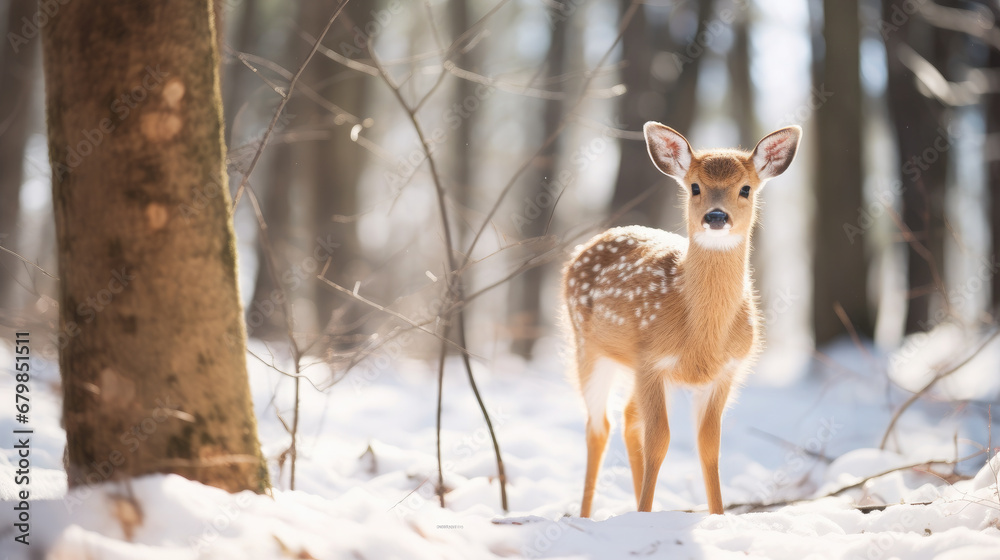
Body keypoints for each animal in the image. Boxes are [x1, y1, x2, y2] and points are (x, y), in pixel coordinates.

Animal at [563, 122, 800, 517]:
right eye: (694, 187)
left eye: (745, 188)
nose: (716, 217)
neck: (701, 335)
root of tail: (582, 249)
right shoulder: (652, 360)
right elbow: (660, 440)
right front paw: (645, 515)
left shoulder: (725, 371)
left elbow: (709, 445)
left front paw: (717, 516)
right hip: (588, 347)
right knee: (599, 426)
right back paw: (587, 515)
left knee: (628, 419)